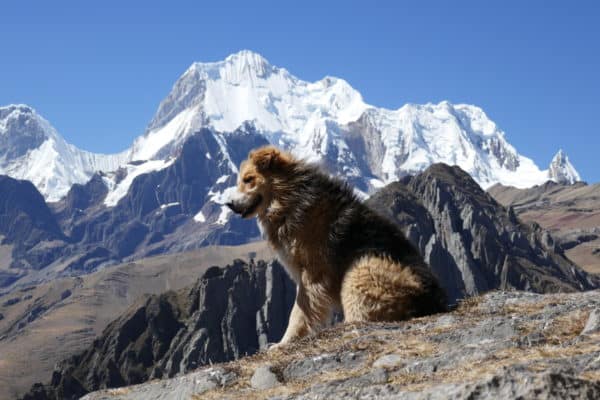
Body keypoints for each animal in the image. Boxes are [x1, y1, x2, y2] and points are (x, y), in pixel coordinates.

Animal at [227, 145, 448, 346]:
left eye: (249, 179)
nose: (229, 204)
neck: (288, 199)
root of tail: (434, 302)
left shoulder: (313, 274)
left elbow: (299, 312)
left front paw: (284, 342)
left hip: (361, 270)